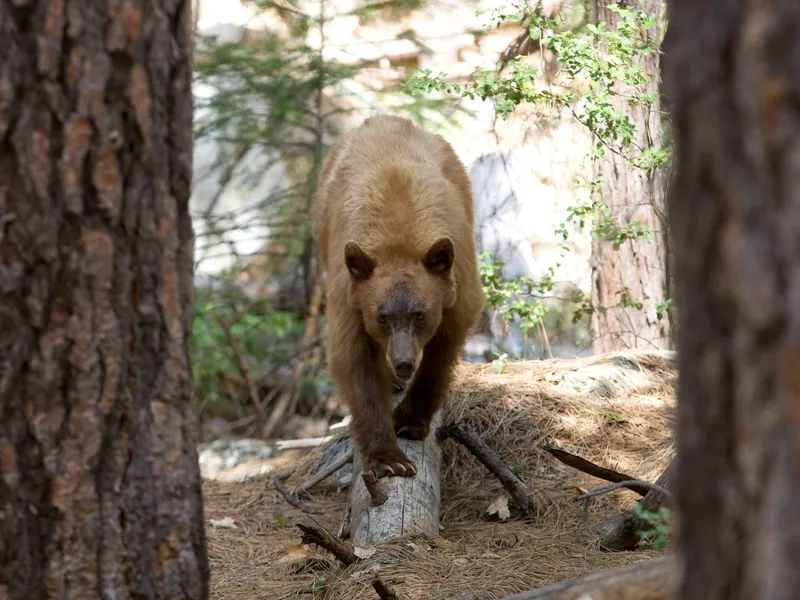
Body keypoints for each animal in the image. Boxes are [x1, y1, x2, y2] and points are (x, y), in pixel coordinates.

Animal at [312, 115, 484, 480]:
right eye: (382, 316)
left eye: (420, 314)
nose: (404, 362)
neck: (399, 242)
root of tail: (386, 118)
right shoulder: (348, 291)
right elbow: (355, 359)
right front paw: (389, 458)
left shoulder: (458, 280)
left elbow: (442, 350)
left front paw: (408, 421)